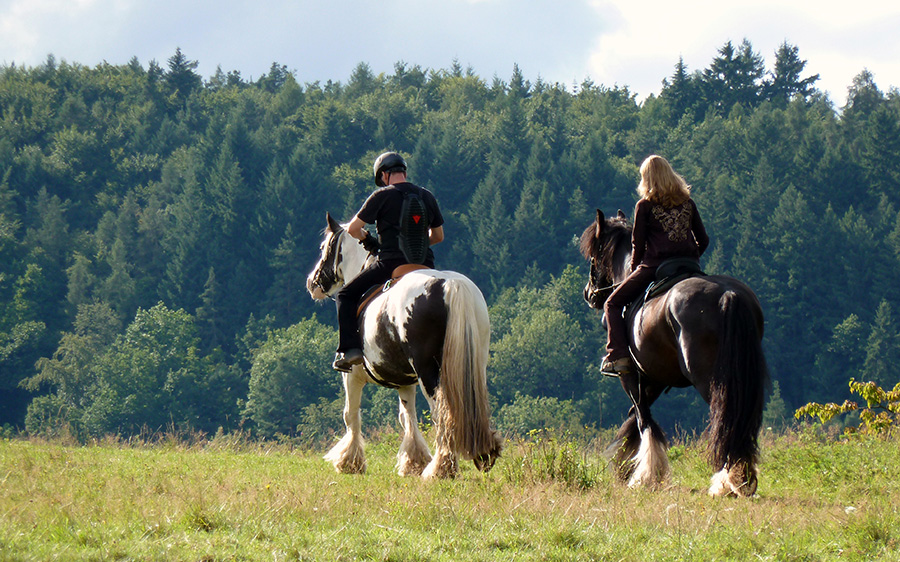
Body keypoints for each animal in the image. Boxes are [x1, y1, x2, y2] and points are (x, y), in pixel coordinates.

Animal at [308, 212, 502, 474]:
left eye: (323, 247)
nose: (312, 282)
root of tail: (451, 285)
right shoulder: (405, 381)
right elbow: (407, 416)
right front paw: (414, 461)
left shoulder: (352, 376)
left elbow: (351, 415)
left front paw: (349, 461)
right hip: (474, 365)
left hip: (428, 371)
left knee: (440, 413)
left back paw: (441, 468)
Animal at [584, 209, 768, 494]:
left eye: (595, 255)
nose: (589, 293)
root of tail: (729, 295)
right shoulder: (655, 379)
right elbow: (633, 421)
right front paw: (625, 466)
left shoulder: (631, 376)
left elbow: (643, 419)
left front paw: (645, 474)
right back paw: (742, 477)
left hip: (710, 379)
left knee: (725, 418)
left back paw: (727, 482)